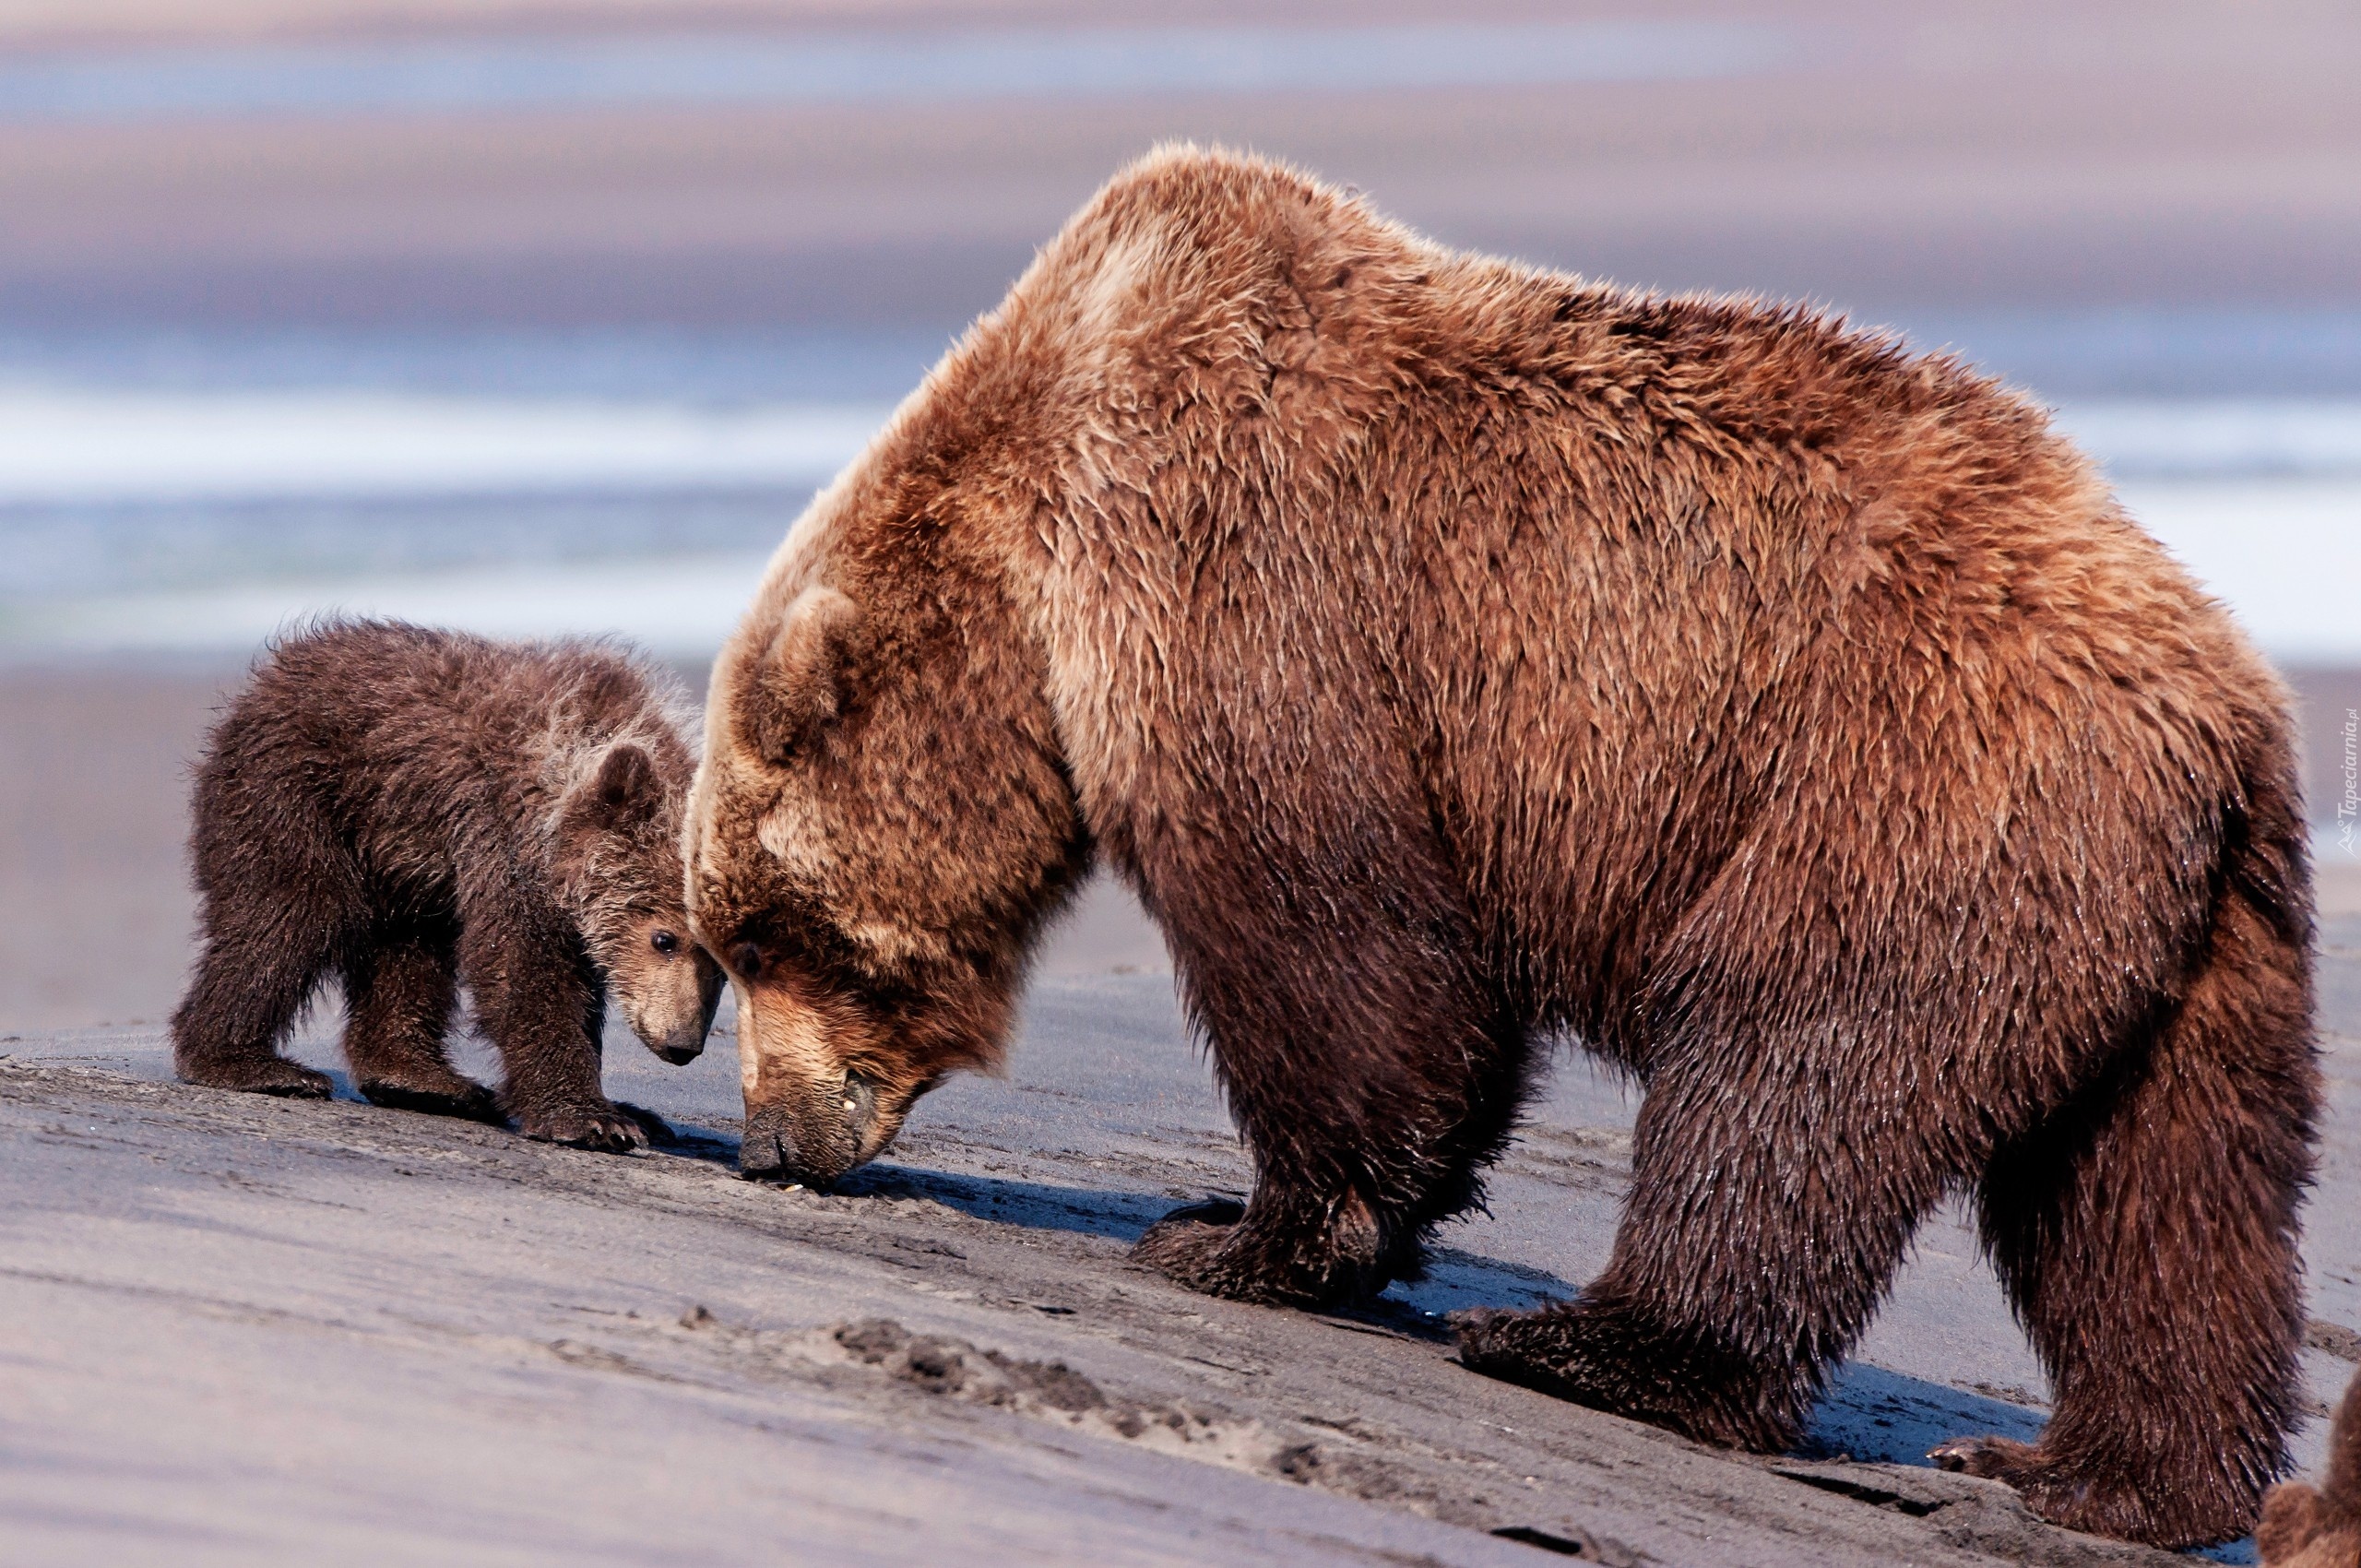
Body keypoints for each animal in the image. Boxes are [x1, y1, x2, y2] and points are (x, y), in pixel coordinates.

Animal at [684, 149, 2304, 1558]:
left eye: (760, 935)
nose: (772, 1141)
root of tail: (2224, 699)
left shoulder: (1242, 579)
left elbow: (1339, 941)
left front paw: (1234, 1235)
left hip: (1900, 782)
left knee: (1791, 1061)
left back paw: (1592, 1343)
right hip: (2182, 935)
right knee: (2157, 1202)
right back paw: (2089, 1474)